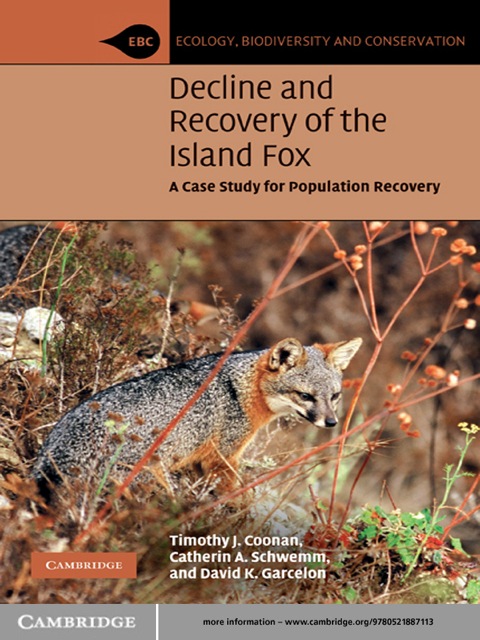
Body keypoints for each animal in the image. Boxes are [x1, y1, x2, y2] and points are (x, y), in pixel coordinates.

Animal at [33, 336, 362, 503]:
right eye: (305, 396)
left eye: (334, 396)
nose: (331, 423)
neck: (239, 389)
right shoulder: (223, 458)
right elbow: (234, 496)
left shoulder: (199, 460)